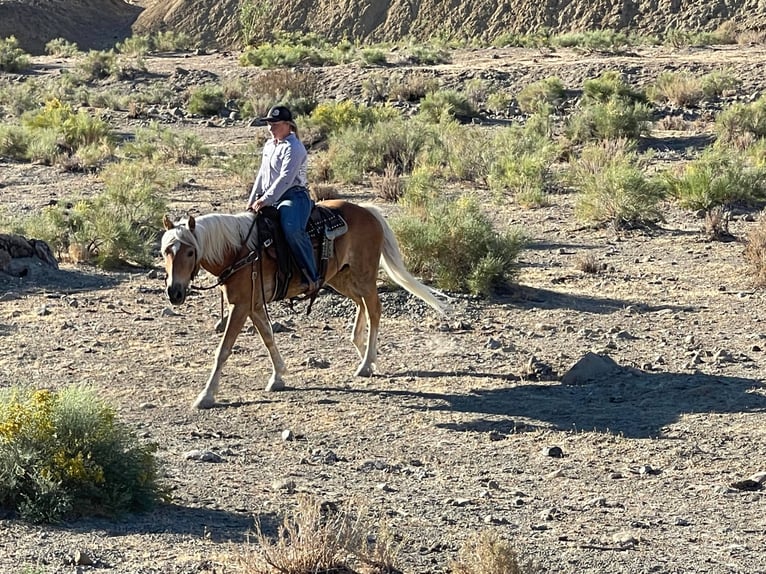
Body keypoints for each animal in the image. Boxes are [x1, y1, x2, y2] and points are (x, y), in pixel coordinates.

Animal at [162, 200, 450, 412]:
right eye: (166, 251)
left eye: (190, 252)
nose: (174, 292)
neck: (240, 251)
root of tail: (368, 211)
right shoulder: (254, 305)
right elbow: (268, 336)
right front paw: (279, 376)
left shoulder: (240, 306)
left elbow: (223, 350)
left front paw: (206, 396)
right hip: (340, 277)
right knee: (362, 306)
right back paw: (364, 353)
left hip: (364, 276)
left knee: (375, 310)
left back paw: (366, 363)